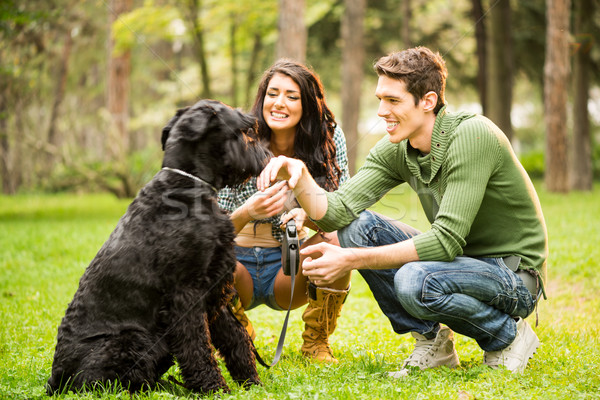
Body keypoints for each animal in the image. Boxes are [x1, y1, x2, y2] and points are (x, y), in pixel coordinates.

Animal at [47, 99, 270, 394]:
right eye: (245, 129)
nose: (266, 155)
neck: (188, 186)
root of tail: (55, 380)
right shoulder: (186, 294)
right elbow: (197, 345)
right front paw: (213, 387)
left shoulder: (215, 288)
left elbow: (235, 337)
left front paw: (251, 382)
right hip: (133, 340)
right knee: (118, 383)